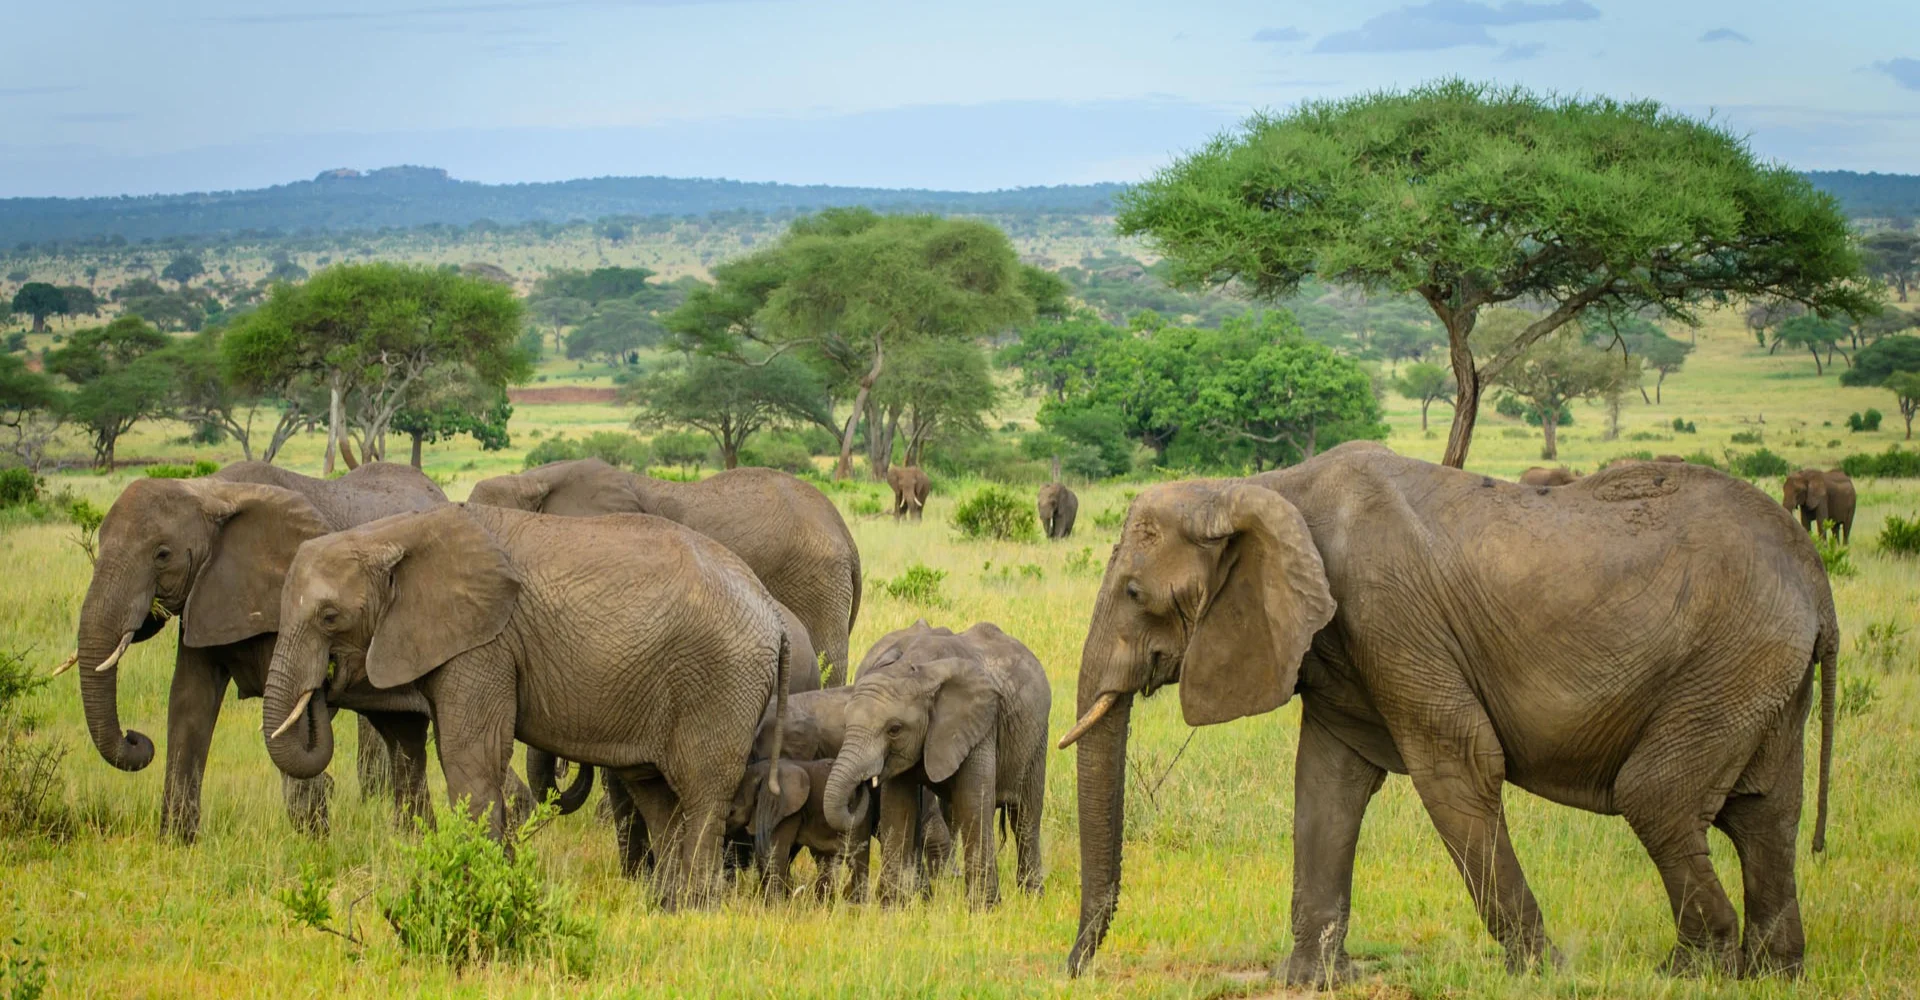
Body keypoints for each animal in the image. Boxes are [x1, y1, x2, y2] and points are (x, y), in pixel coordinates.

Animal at [62, 460, 446, 842]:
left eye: (162, 555)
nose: (135, 738)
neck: (210, 492)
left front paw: (314, 844)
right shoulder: (205, 595)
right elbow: (189, 700)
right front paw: (175, 844)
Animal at [260, 503, 792, 907]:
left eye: (330, 617)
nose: (324, 682)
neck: (389, 534)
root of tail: (773, 611)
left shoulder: (484, 644)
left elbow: (471, 757)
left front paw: (478, 887)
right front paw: (506, 879)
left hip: (721, 680)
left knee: (701, 789)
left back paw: (697, 907)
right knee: (656, 792)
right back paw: (665, 906)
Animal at [824, 621, 1050, 908]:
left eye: (894, 729)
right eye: (846, 723)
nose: (862, 785)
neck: (916, 669)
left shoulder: (979, 725)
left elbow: (973, 803)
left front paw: (984, 909)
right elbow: (898, 808)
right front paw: (891, 907)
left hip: (1037, 739)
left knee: (1025, 816)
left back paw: (1033, 898)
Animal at [1061, 442, 1838, 984]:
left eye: (1134, 593)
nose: (1074, 969)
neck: (1261, 489)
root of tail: (1816, 583)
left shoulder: (1391, 615)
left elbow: (1457, 771)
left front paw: (1542, 973)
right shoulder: (1339, 643)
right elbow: (1328, 784)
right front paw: (1309, 980)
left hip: (1731, 658)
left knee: (1658, 798)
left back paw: (1688, 972)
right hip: (1758, 673)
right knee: (1764, 811)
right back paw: (1771, 973)